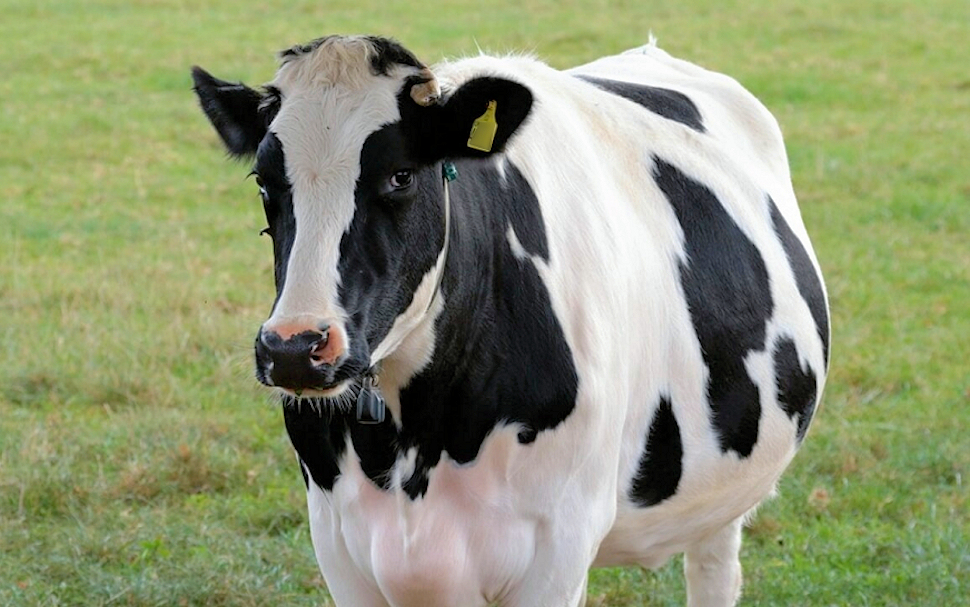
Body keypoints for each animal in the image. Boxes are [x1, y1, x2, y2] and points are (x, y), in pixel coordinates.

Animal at [192, 34, 829, 607]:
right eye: (264, 181)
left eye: (401, 174)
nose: (294, 348)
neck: (414, 439)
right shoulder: (340, 542)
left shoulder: (558, 548)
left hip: (724, 489)